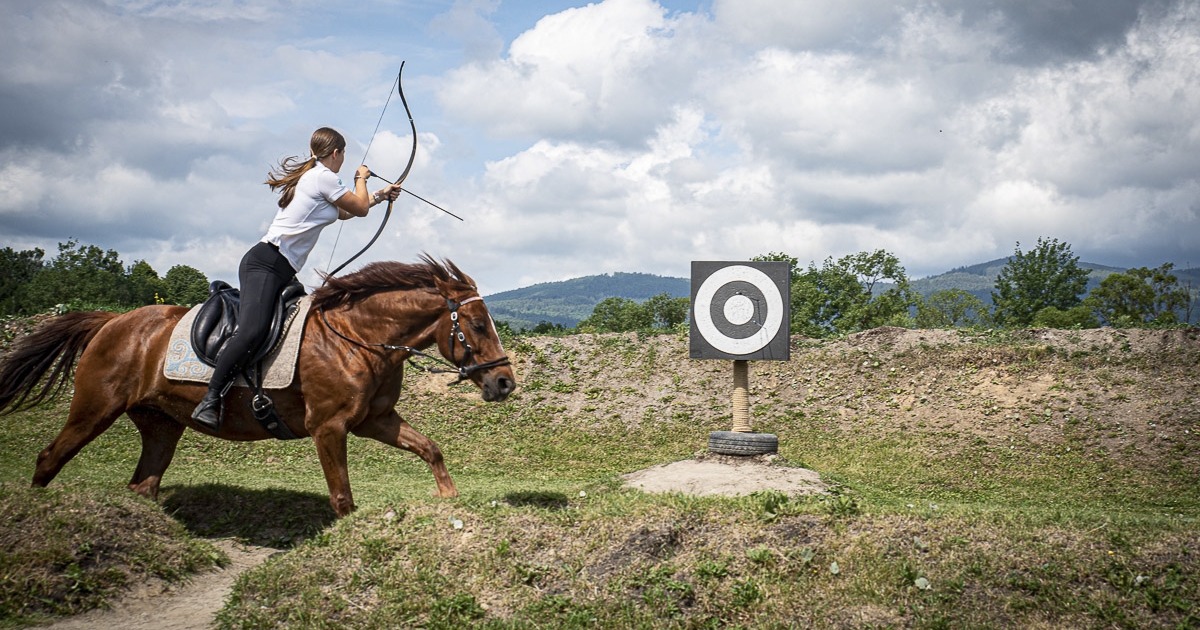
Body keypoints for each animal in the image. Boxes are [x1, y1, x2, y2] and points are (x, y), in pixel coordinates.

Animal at [0, 256, 516, 516]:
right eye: (476, 324)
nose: (505, 382)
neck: (358, 339)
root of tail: (111, 321)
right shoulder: (329, 427)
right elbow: (343, 497)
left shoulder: (374, 419)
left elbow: (430, 448)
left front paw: (448, 499)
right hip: (94, 408)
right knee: (50, 457)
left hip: (161, 423)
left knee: (143, 483)